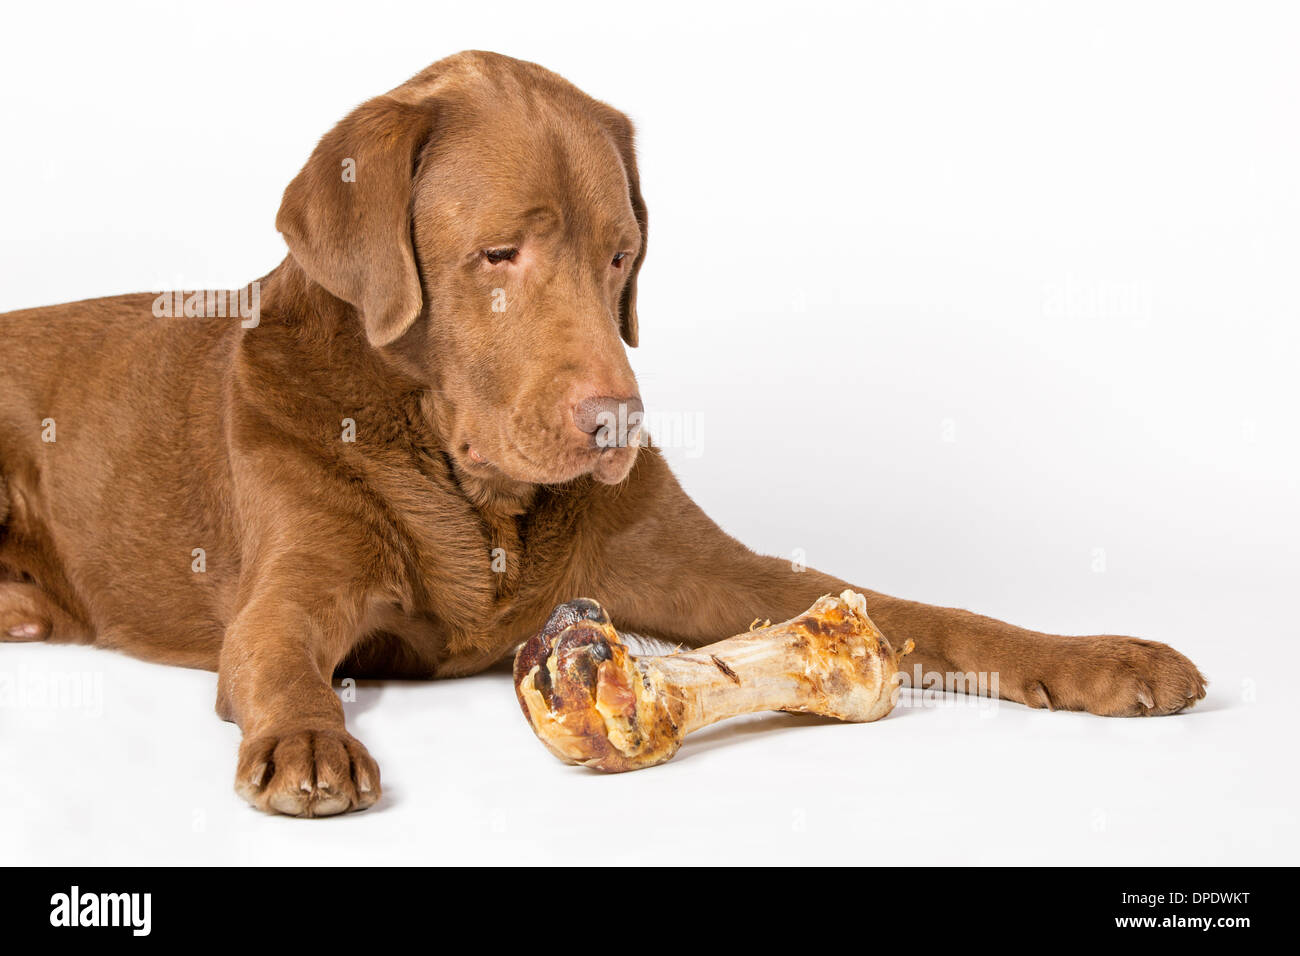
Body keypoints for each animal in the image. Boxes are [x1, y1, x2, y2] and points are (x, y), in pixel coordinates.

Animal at [0, 50, 1206, 816]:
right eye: (499, 254)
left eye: (620, 254)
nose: (619, 417)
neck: (473, 492)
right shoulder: (286, 593)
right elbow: (283, 659)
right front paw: (309, 739)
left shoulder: (710, 566)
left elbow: (922, 613)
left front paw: (1100, 656)